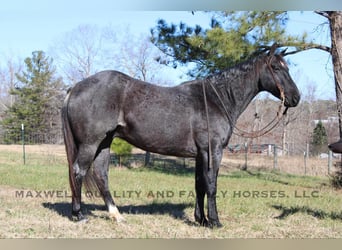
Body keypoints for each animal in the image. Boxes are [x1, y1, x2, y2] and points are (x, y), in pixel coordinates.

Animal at [61, 46, 300, 227]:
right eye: (276, 67)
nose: (296, 98)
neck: (216, 99)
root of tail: (75, 88)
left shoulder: (200, 154)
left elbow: (199, 185)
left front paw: (201, 220)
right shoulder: (213, 151)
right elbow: (211, 185)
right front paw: (214, 221)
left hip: (104, 142)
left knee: (101, 175)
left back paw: (116, 215)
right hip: (91, 143)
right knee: (78, 171)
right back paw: (78, 215)